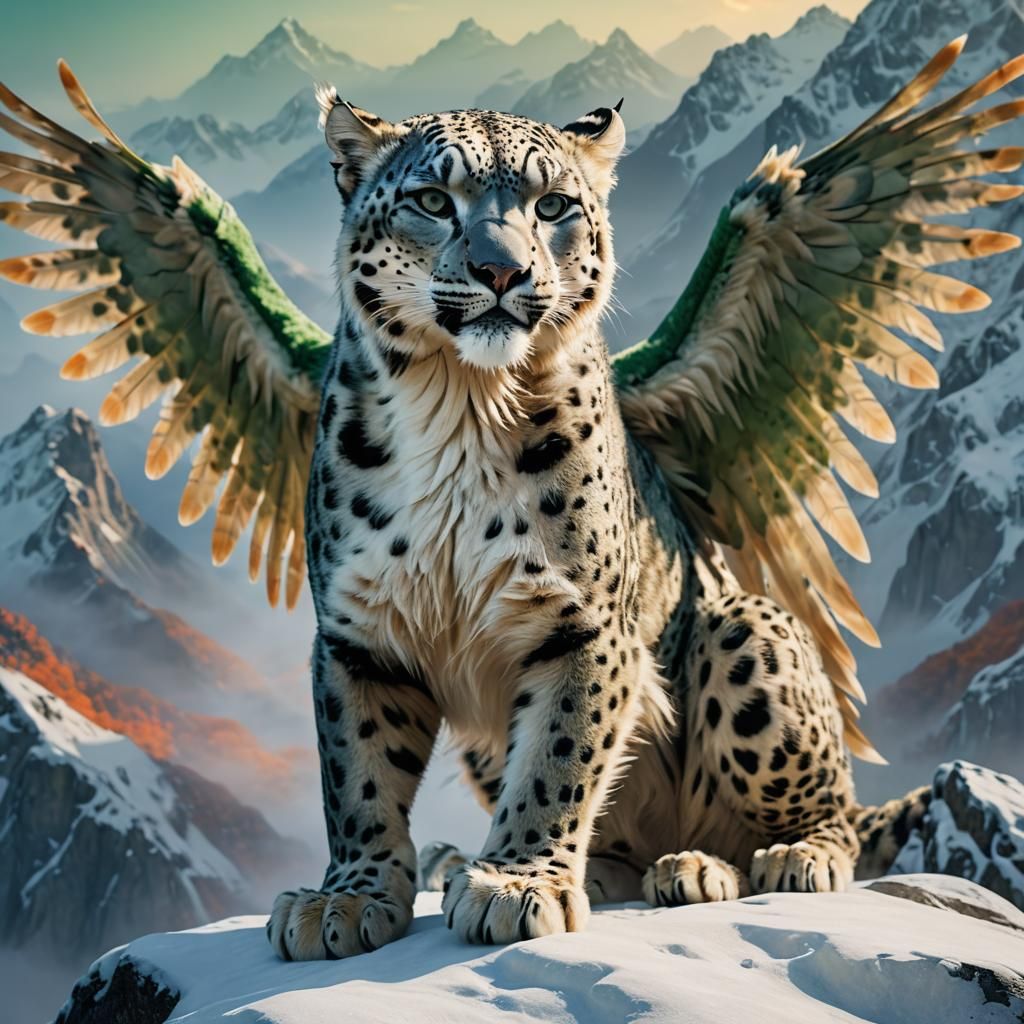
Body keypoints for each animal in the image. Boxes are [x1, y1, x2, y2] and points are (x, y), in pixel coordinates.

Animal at [265, 96, 927, 961]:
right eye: (433, 200)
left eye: (552, 207)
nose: (502, 272)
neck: (461, 406)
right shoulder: (357, 631)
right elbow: (358, 772)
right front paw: (348, 897)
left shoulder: (580, 621)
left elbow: (559, 754)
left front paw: (515, 885)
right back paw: (612, 869)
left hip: (745, 632)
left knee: (828, 813)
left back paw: (752, 861)